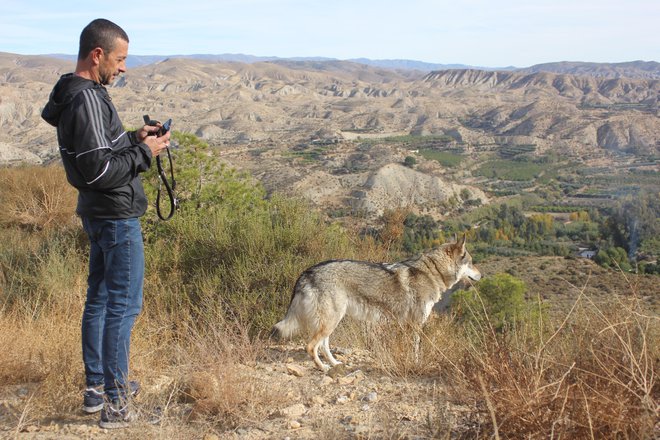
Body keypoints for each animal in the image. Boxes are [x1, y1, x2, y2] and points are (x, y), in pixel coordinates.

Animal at [270, 235, 482, 370]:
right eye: (471, 262)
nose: (481, 275)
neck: (433, 271)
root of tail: (307, 271)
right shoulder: (415, 324)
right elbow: (416, 350)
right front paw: (415, 363)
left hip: (332, 321)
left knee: (323, 345)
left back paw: (335, 364)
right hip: (331, 320)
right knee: (311, 346)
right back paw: (323, 368)